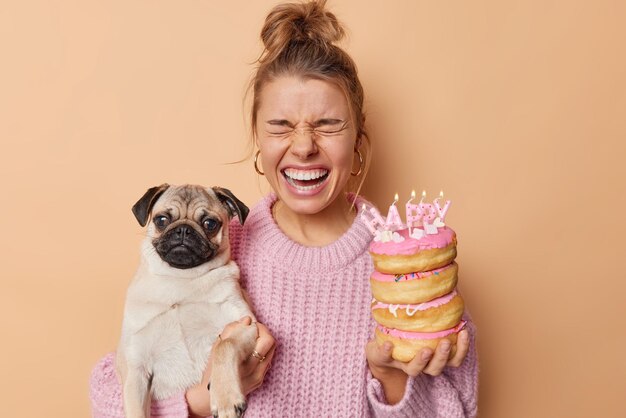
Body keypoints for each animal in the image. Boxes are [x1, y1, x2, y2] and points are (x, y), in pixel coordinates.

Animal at [117, 184, 256, 418]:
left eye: (210, 224)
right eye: (161, 220)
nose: (183, 230)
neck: (182, 279)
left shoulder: (247, 325)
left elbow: (225, 345)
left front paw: (226, 399)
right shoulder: (136, 367)